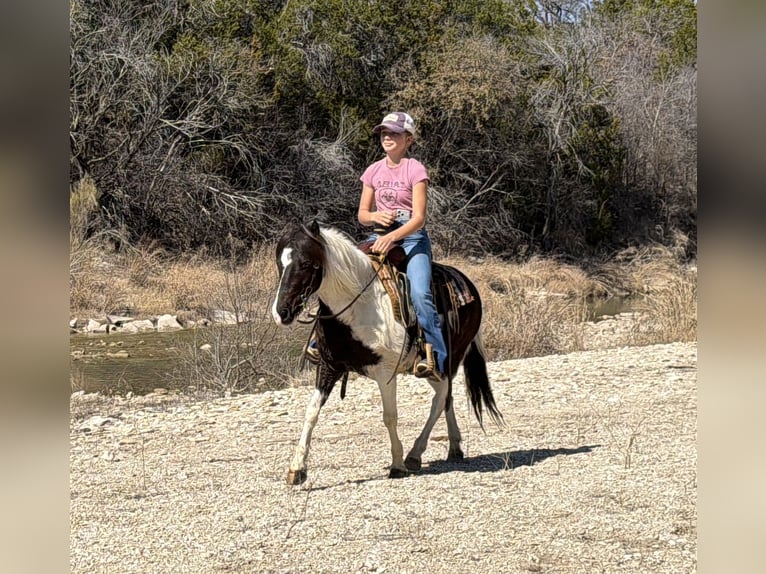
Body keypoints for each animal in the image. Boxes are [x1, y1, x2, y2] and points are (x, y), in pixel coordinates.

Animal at [271, 220, 502, 485]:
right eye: (280, 263)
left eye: (308, 263)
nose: (282, 312)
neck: (358, 308)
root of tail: (468, 284)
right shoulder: (329, 366)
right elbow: (311, 412)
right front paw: (297, 469)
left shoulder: (385, 373)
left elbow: (389, 416)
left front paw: (397, 464)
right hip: (429, 369)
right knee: (446, 398)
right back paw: (453, 447)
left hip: (448, 361)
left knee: (441, 398)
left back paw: (414, 454)